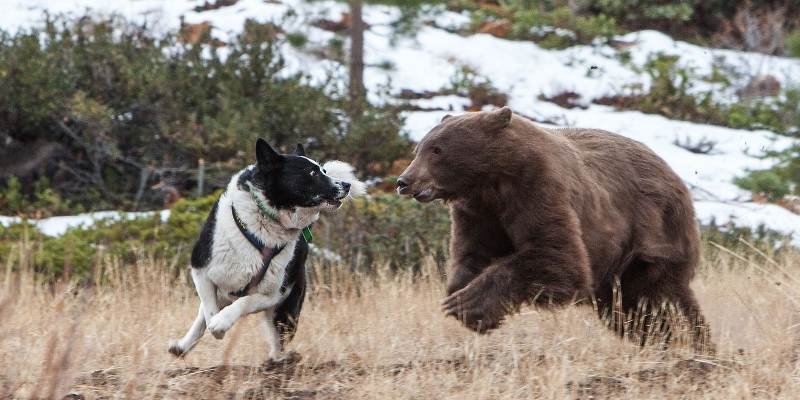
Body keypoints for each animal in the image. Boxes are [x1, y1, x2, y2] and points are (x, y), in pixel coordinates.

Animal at [170, 139, 368, 360]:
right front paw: (215, 325)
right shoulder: (200, 269)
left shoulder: (273, 294)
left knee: (278, 340)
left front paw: (222, 323)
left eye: (323, 170)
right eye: (312, 173)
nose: (346, 185)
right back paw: (182, 346)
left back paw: (277, 361)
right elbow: (208, 309)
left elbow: (244, 302)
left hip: (287, 311)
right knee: (203, 314)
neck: (264, 222)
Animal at [398, 106, 712, 350]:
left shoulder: (538, 189)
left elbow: (557, 258)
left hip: (652, 237)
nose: (404, 181)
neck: (493, 180)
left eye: (437, 150)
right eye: (419, 148)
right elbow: (474, 253)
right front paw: (462, 297)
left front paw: (467, 303)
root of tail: (675, 176)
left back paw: (693, 345)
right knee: (631, 309)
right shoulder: (479, 212)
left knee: (659, 300)